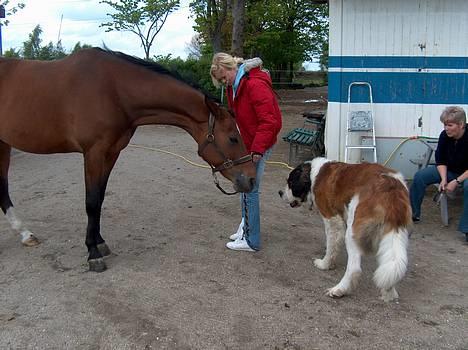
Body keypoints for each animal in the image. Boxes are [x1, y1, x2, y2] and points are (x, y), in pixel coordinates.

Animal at [0, 47, 256, 270]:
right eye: (233, 138)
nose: (251, 179)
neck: (113, 90)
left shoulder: (111, 152)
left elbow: (100, 198)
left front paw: (100, 243)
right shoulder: (94, 152)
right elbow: (91, 201)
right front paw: (93, 253)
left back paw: (25, 234)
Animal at [280, 157, 412, 302]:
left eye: (290, 182)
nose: (280, 193)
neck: (313, 175)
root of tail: (391, 185)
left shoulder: (332, 219)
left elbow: (331, 245)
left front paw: (325, 264)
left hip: (352, 231)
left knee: (354, 268)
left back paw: (339, 289)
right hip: (396, 232)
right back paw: (389, 293)